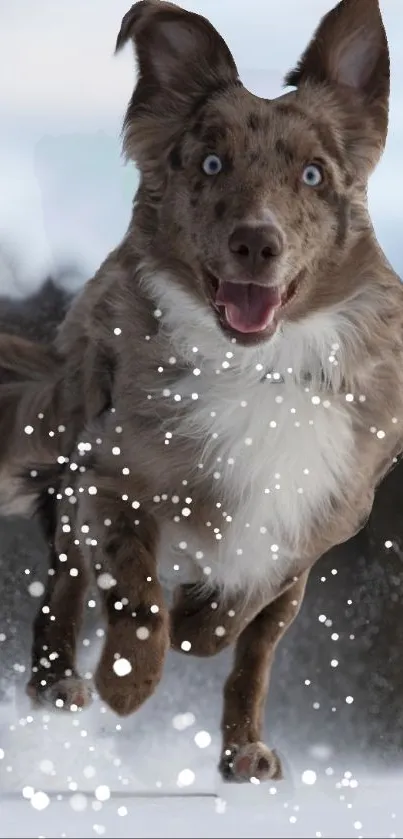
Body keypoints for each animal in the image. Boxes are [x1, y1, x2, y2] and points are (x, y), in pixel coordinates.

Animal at [0, 0, 403, 784]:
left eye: (313, 174)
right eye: (212, 164)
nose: (256, 242)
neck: (260, 368)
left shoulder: (310, 524)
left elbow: (236, 621)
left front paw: (197, 623)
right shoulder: (111, 475)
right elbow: (135, 595)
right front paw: (126, 682)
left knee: (251, 653)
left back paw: (243, 747)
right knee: (64, 585)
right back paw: (58, 682)